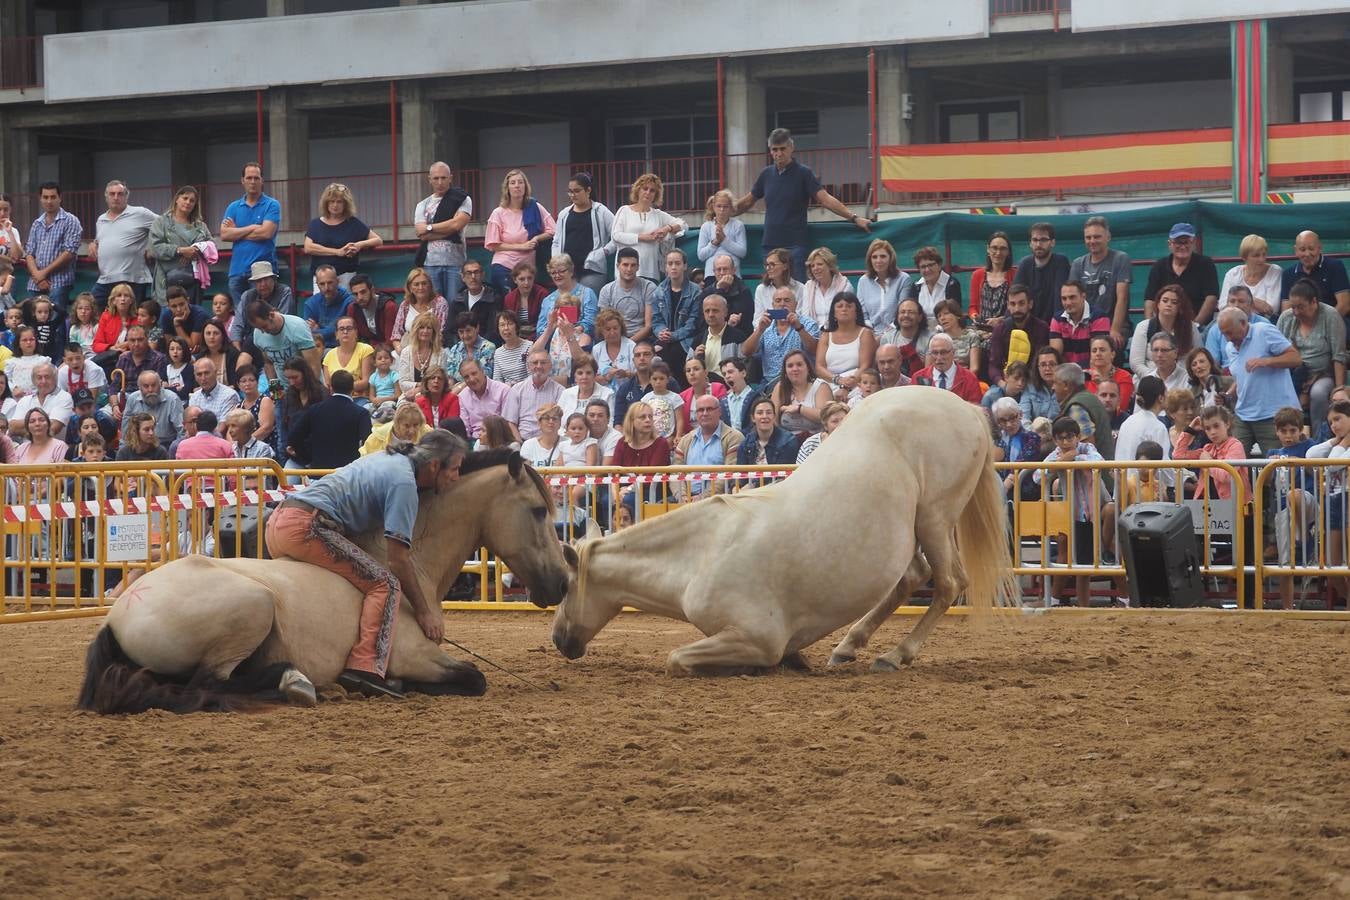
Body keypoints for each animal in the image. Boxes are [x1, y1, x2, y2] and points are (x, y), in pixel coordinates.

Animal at [77, 453, 569, 712]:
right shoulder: (419, 656)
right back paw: (295, 682)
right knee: (207, 685)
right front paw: (381, 684)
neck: (412, 571)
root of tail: (120, 614)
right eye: (537, 510)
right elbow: (473, 676)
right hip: (254, 607)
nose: (563, 583)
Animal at [545, 388, 1015, 674]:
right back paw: (848, 645)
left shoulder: (757, 637)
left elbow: (678, 658)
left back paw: (895, 655)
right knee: (912, 578)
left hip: (934, 519)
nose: (559, 640)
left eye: (566, 588)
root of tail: (966, 409)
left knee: (948, 583)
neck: (699, 556)